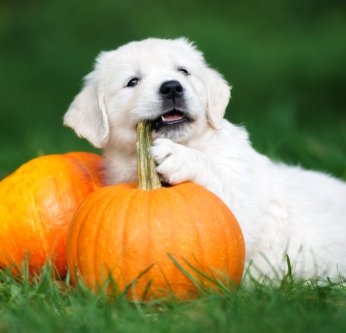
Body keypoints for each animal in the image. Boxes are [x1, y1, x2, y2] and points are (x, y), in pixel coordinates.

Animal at [62, 37, 346, 278]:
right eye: (133, 81)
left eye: (183, 71)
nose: (172, 87)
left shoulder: (240, 206)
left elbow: (218, 179)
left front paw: (177, 156)